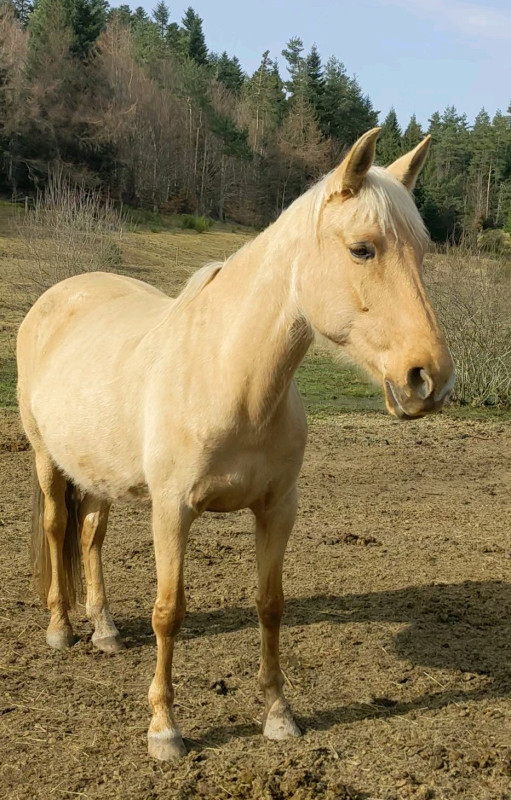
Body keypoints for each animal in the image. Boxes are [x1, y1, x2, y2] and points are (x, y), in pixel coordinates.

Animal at [17, 128, 454, 761]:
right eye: (362, 249)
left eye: (421, 252)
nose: (430, 379)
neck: (229, 374)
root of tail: (58, 296)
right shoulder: (172, 510)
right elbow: (169, 612)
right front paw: (164, 729)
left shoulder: (277, 509)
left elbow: (270, 606)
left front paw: (278, 714)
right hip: (48, 460)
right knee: (57, 528)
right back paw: (61, 629)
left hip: (97, 471)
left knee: (91, 536)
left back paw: (104, 630)